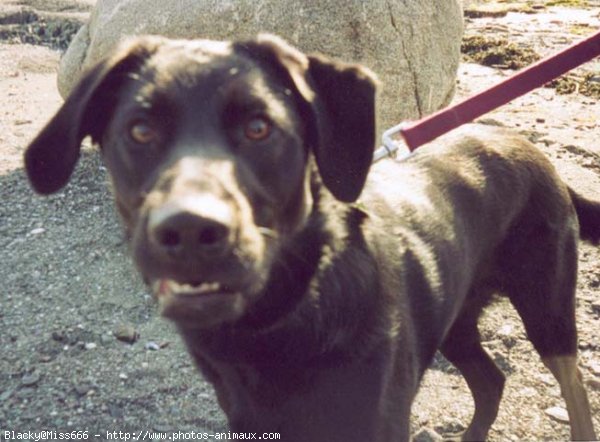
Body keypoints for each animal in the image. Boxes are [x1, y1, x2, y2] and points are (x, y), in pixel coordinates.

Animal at [22, 35, 596, 442]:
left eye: (259, 128)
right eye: (139, 131)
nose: (189, 230)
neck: (277, 321)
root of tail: (532, 150)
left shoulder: (374, 421)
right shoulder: (253, 421)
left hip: (547, 312)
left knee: (576, 395)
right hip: (453, 318)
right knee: (491, 382)